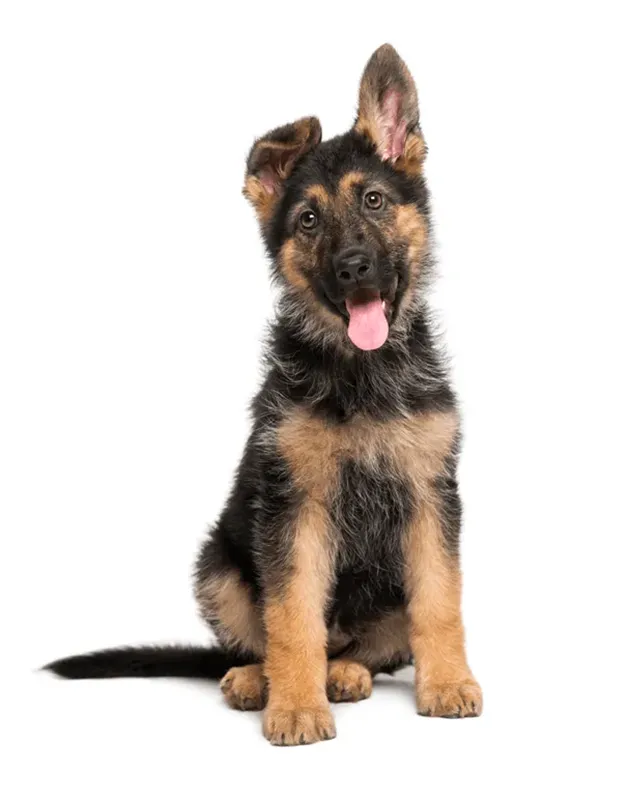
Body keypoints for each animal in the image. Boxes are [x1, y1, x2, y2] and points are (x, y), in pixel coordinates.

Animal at [46, 42, 484, 744]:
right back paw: (258, 680)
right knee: (260, 641)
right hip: (218, 565)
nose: (353, 267)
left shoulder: (430, 499)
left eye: (374, 200)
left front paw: (446, 684)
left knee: (366, 648)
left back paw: (345, 672)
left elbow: (440, 601)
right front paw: (297, 706)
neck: (359, 374)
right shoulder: (293, 507)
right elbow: (291, 615)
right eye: (307, 220)